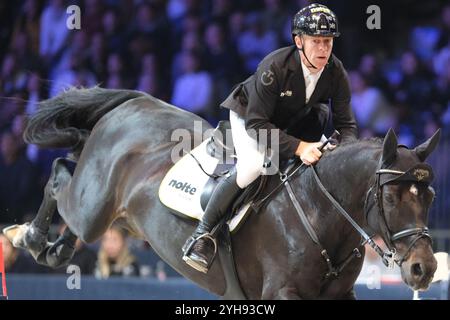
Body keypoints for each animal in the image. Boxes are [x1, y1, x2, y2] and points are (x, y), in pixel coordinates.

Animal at [3, 87, 440, 300]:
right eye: (390, 198)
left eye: (430, 197)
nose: (425, 269)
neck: (320, 212)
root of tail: (134, 103)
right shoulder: (283, 291)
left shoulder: (340, 295)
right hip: (92, 208)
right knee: (58, 182)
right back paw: (29, 237)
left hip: (117, 218)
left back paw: (55, 247)